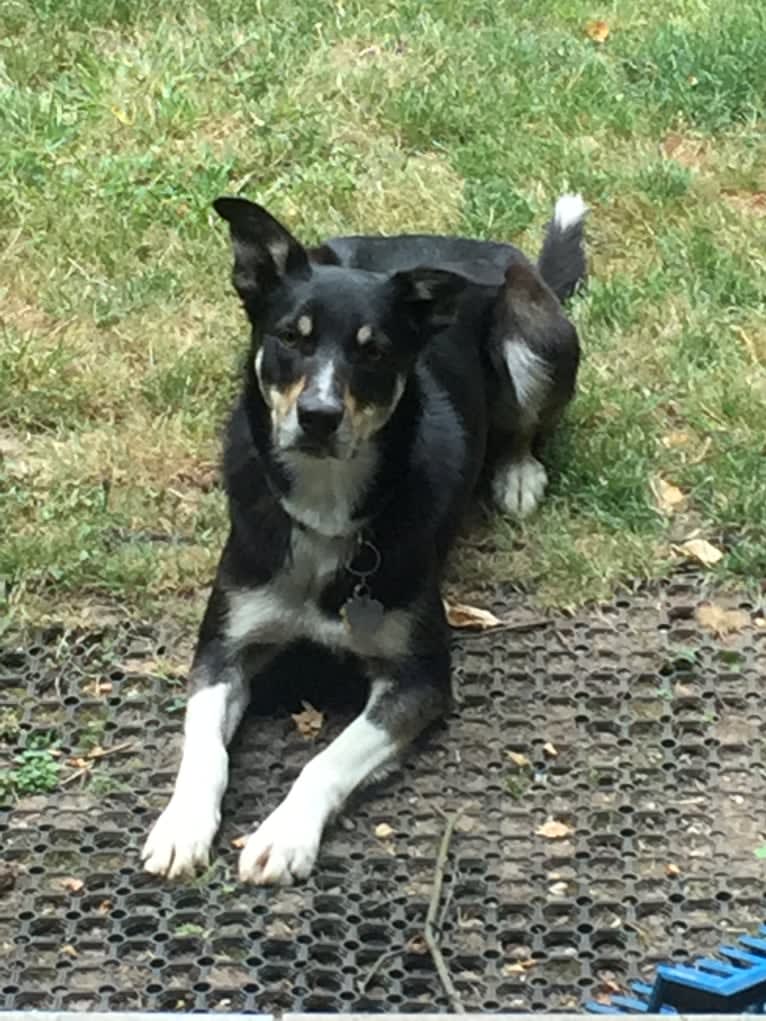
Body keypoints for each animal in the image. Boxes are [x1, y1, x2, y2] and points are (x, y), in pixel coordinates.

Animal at [142, 192, 588, 886]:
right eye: (289, 338)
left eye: (373, 352)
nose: (318, 417)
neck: (325, 509)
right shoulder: (223, 648)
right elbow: (204, 748)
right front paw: (183, 824)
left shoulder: (419, 678)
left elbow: (326, 759)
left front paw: (284, 834)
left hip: (535, 335)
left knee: (524, 426)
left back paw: (517, 474)